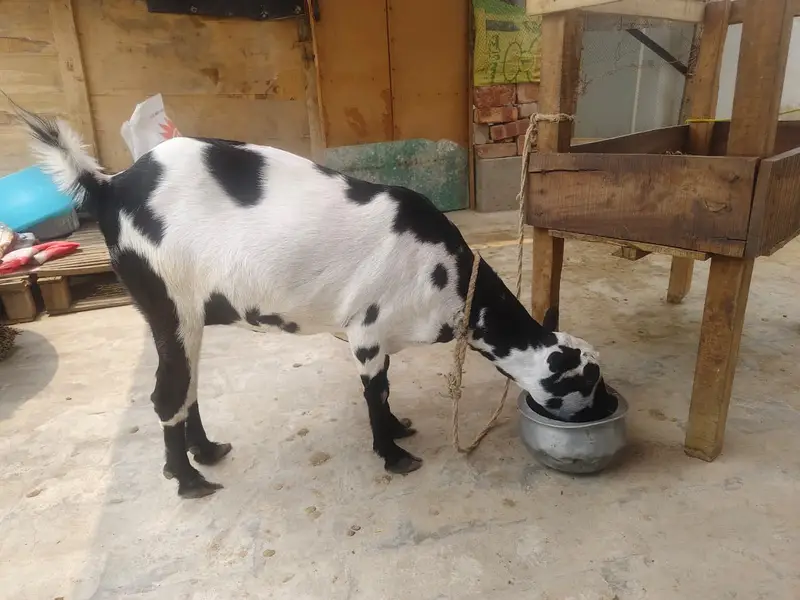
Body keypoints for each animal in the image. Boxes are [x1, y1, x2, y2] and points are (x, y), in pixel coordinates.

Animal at [14, 104, 616, 499]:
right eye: (585, 382)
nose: (605, 405)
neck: (450, 277)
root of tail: (108, 185)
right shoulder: (367, 332)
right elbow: (375, 391)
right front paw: (393, 455)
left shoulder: (381, 337)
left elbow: (385, 387)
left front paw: (398, 429)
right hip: (169, 302)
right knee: (168, 395)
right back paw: (188, 480)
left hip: (186, 317)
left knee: (187, 387)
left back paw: (205, 452)